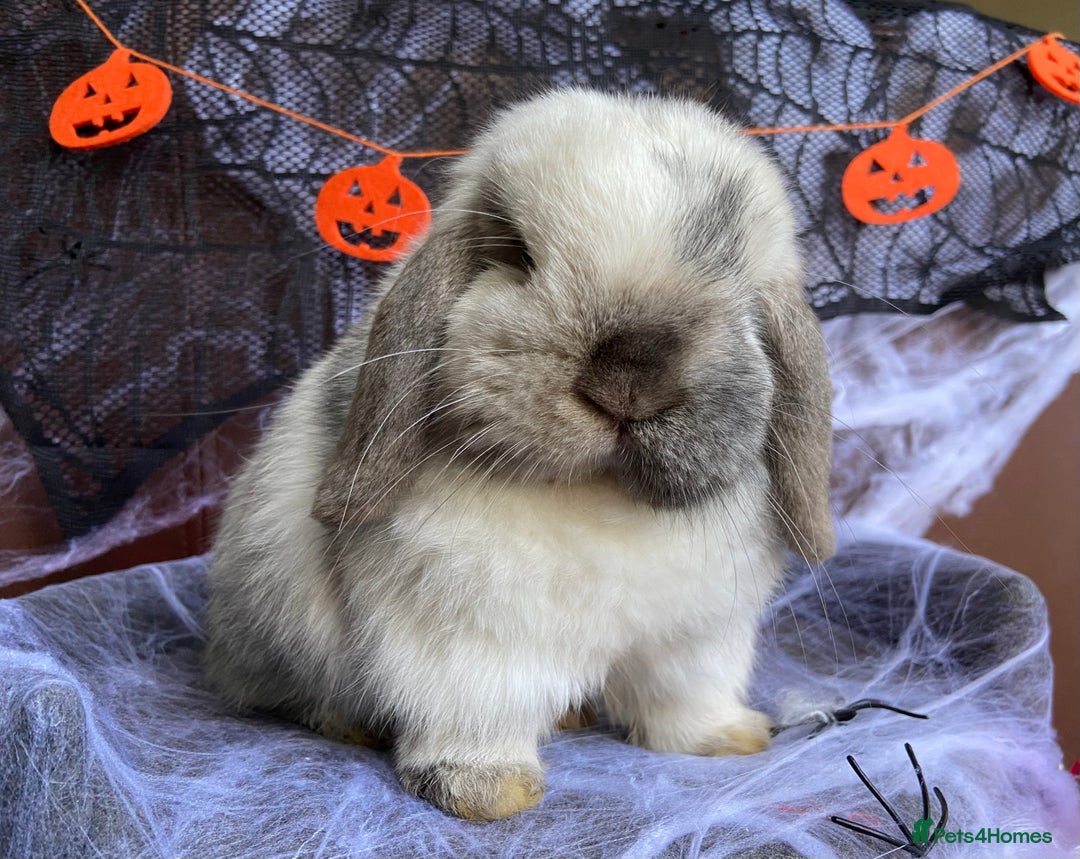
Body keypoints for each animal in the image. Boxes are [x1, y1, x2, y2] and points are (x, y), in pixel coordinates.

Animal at [205, 88, 835, 821]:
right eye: (517, 252)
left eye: (746, 299)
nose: (630, 378)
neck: (602, 498)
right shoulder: (469, 641)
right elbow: (476, 711)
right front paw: (491, 793)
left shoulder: (696, 638)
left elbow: (683, 700)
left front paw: (731, 739)